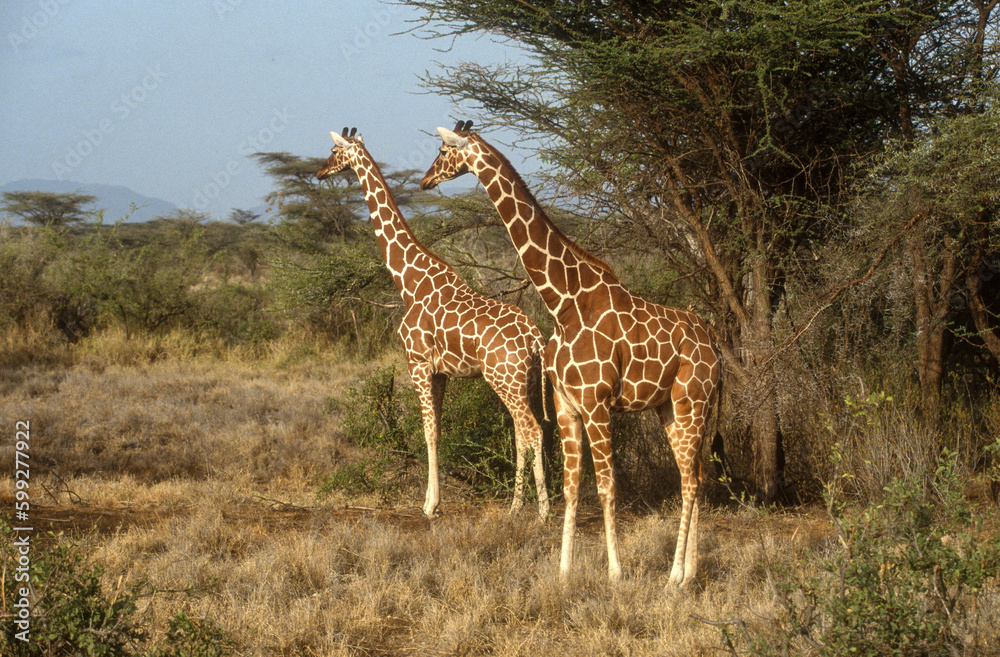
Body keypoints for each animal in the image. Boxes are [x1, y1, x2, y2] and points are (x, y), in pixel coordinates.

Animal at [317, 128, 550, 519]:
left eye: (334, 151)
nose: (319, 172)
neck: (408, 279)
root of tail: (535, 338)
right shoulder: (441, 372)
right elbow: (438, 431)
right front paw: (432, 500)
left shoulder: (418, 363)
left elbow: (426, 431)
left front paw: (429, 505)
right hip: (525, 383)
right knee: (524, 431)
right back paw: (518, 506)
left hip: (505, 379)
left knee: (532, 430)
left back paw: (543, 511)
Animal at [421, 121, 722, 589]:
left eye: (442, 151)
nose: (424, 181)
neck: (563, 302)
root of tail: (716, 347)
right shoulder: (566, 405)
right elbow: (571, 485)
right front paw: (564, 570)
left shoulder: (598, 404)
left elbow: (607, 487)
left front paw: (615, 572)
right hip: (673, 408)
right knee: (696, 475)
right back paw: (687, 572)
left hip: (691, 402)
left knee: (690, 481)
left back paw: (674, 576)